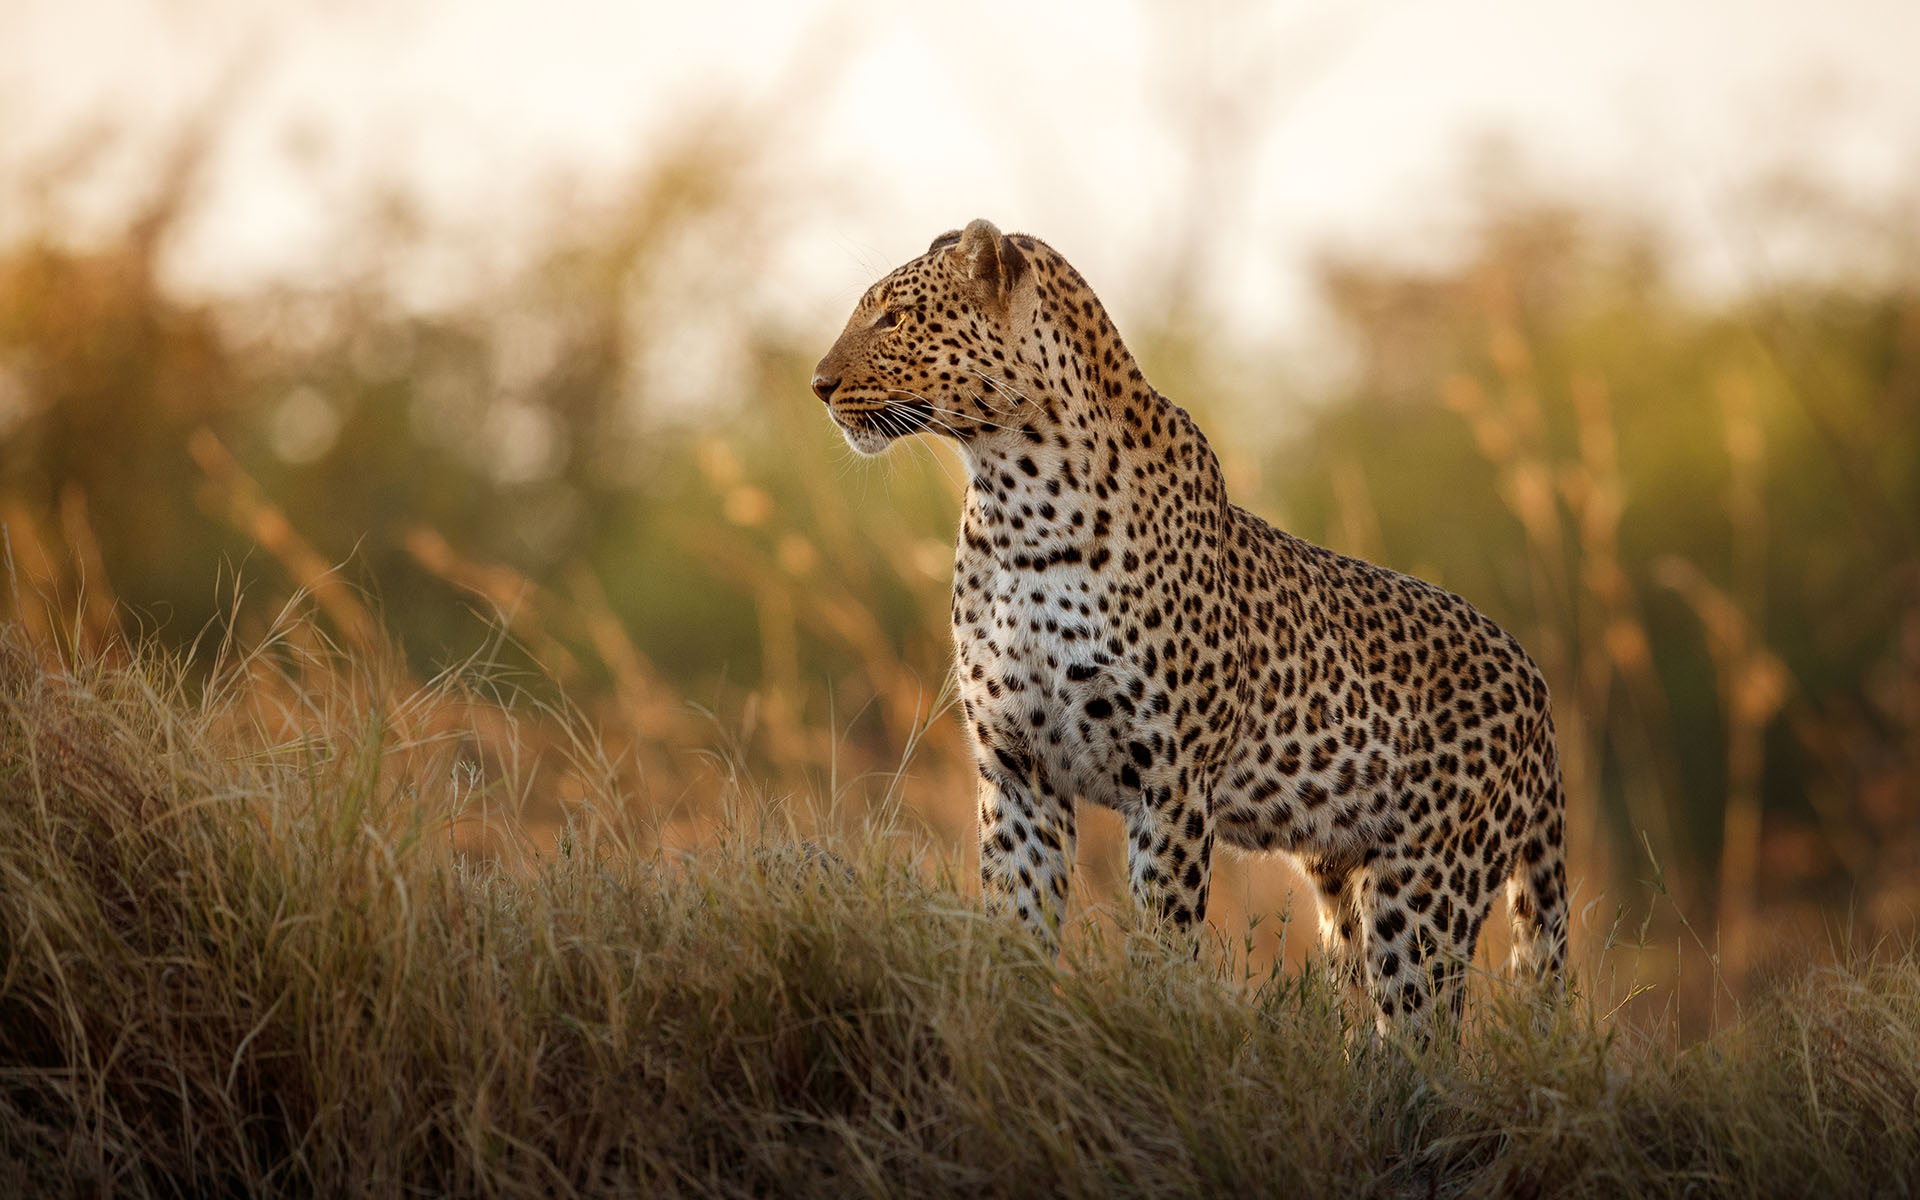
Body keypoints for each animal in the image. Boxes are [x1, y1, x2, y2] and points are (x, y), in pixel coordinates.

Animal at [810, 219, 1567, 1031]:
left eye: (893, 318)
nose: (818, 384)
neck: (1016, 499)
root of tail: (1536, 682)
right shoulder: (1017, 769)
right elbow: (1015, 926)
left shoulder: (1169, 778)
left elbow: (1162, 938)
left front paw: (1151, 1023)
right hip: (1344, 880)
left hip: (1428, 887)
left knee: (1422, 1029)